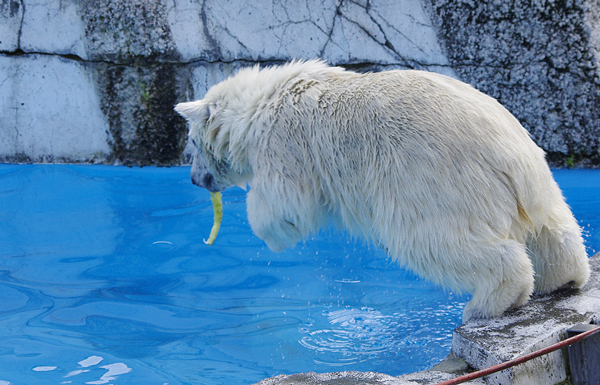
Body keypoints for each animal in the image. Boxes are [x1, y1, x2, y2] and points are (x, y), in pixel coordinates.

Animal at [175, 60, 592, 320]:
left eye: (191, 143)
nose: (195, 179)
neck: (261, 102)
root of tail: (506, 154)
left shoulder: (286, 140)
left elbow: (285, 204)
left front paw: (269, 231)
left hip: (433, 181)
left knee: (434, 241)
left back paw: (485, 304)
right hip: (536, 180)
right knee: (554, 230)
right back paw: (564, 278)